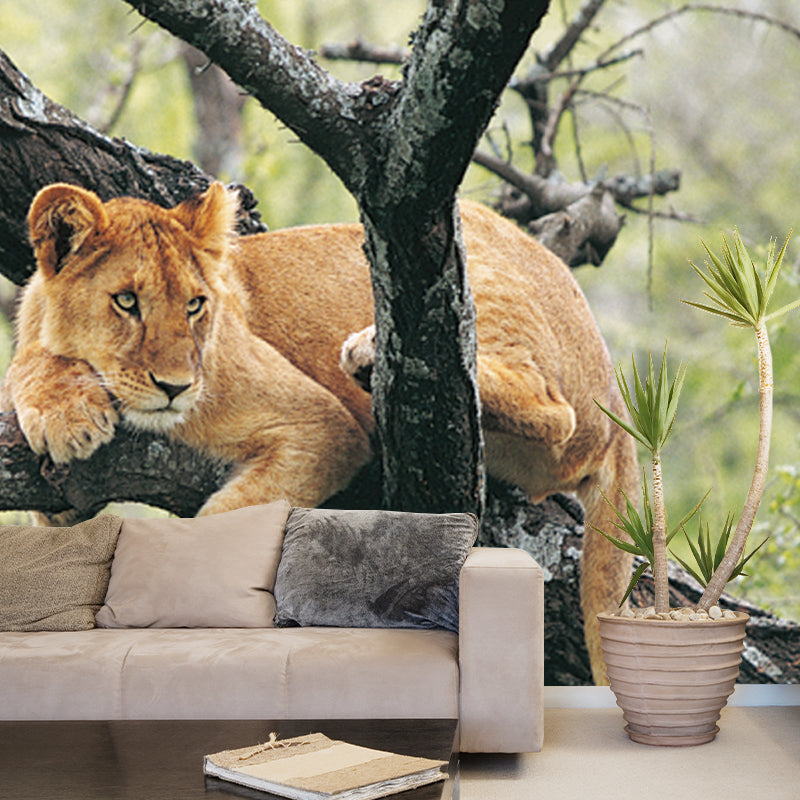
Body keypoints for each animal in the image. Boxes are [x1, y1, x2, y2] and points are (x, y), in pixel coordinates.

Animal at [2, 182, 637, 683]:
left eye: (196, 305)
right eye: (126, 301)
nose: (176, 386)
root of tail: (613, 397)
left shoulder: (319, 423)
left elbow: (222, 529)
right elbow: (32, 378)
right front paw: (63, 407)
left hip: (470, 262)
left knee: (554, 412)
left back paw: (370, 352)